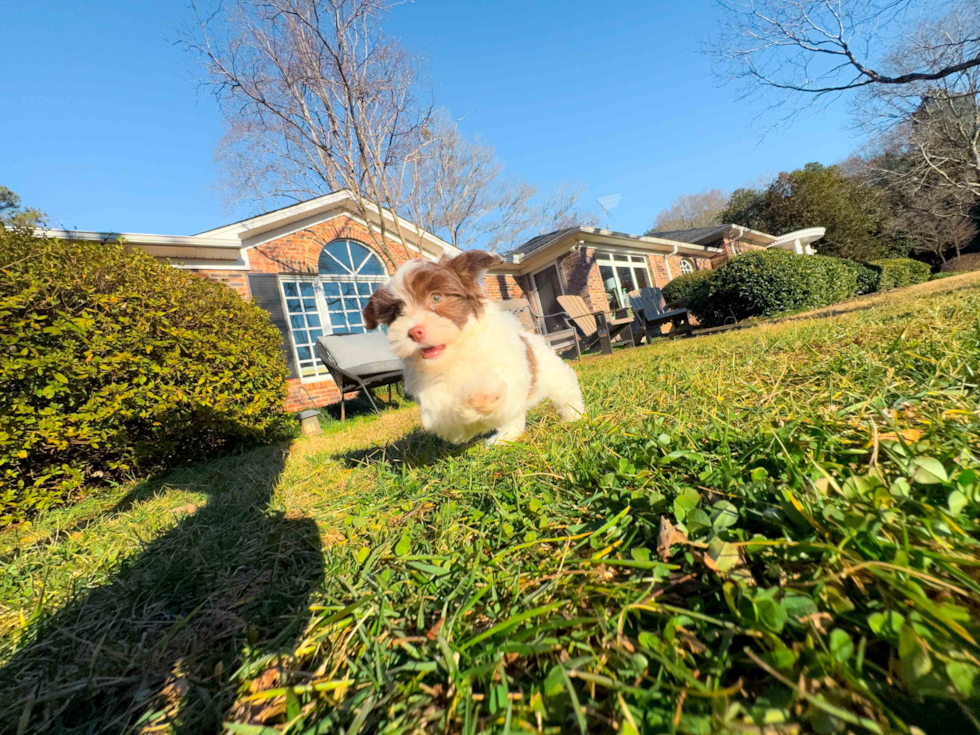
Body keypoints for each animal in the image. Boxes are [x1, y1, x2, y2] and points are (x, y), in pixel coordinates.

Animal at [366, 253, 580, 446]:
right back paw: (505, 437)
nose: (414, 332)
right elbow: (444, 415)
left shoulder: (507, 367)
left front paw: (482, 395)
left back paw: (572, 416)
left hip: (552, 373)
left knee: (564, 392)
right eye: (397, 313)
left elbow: (498, 386)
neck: (454, 354)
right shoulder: (431, 391)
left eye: (436, 297)